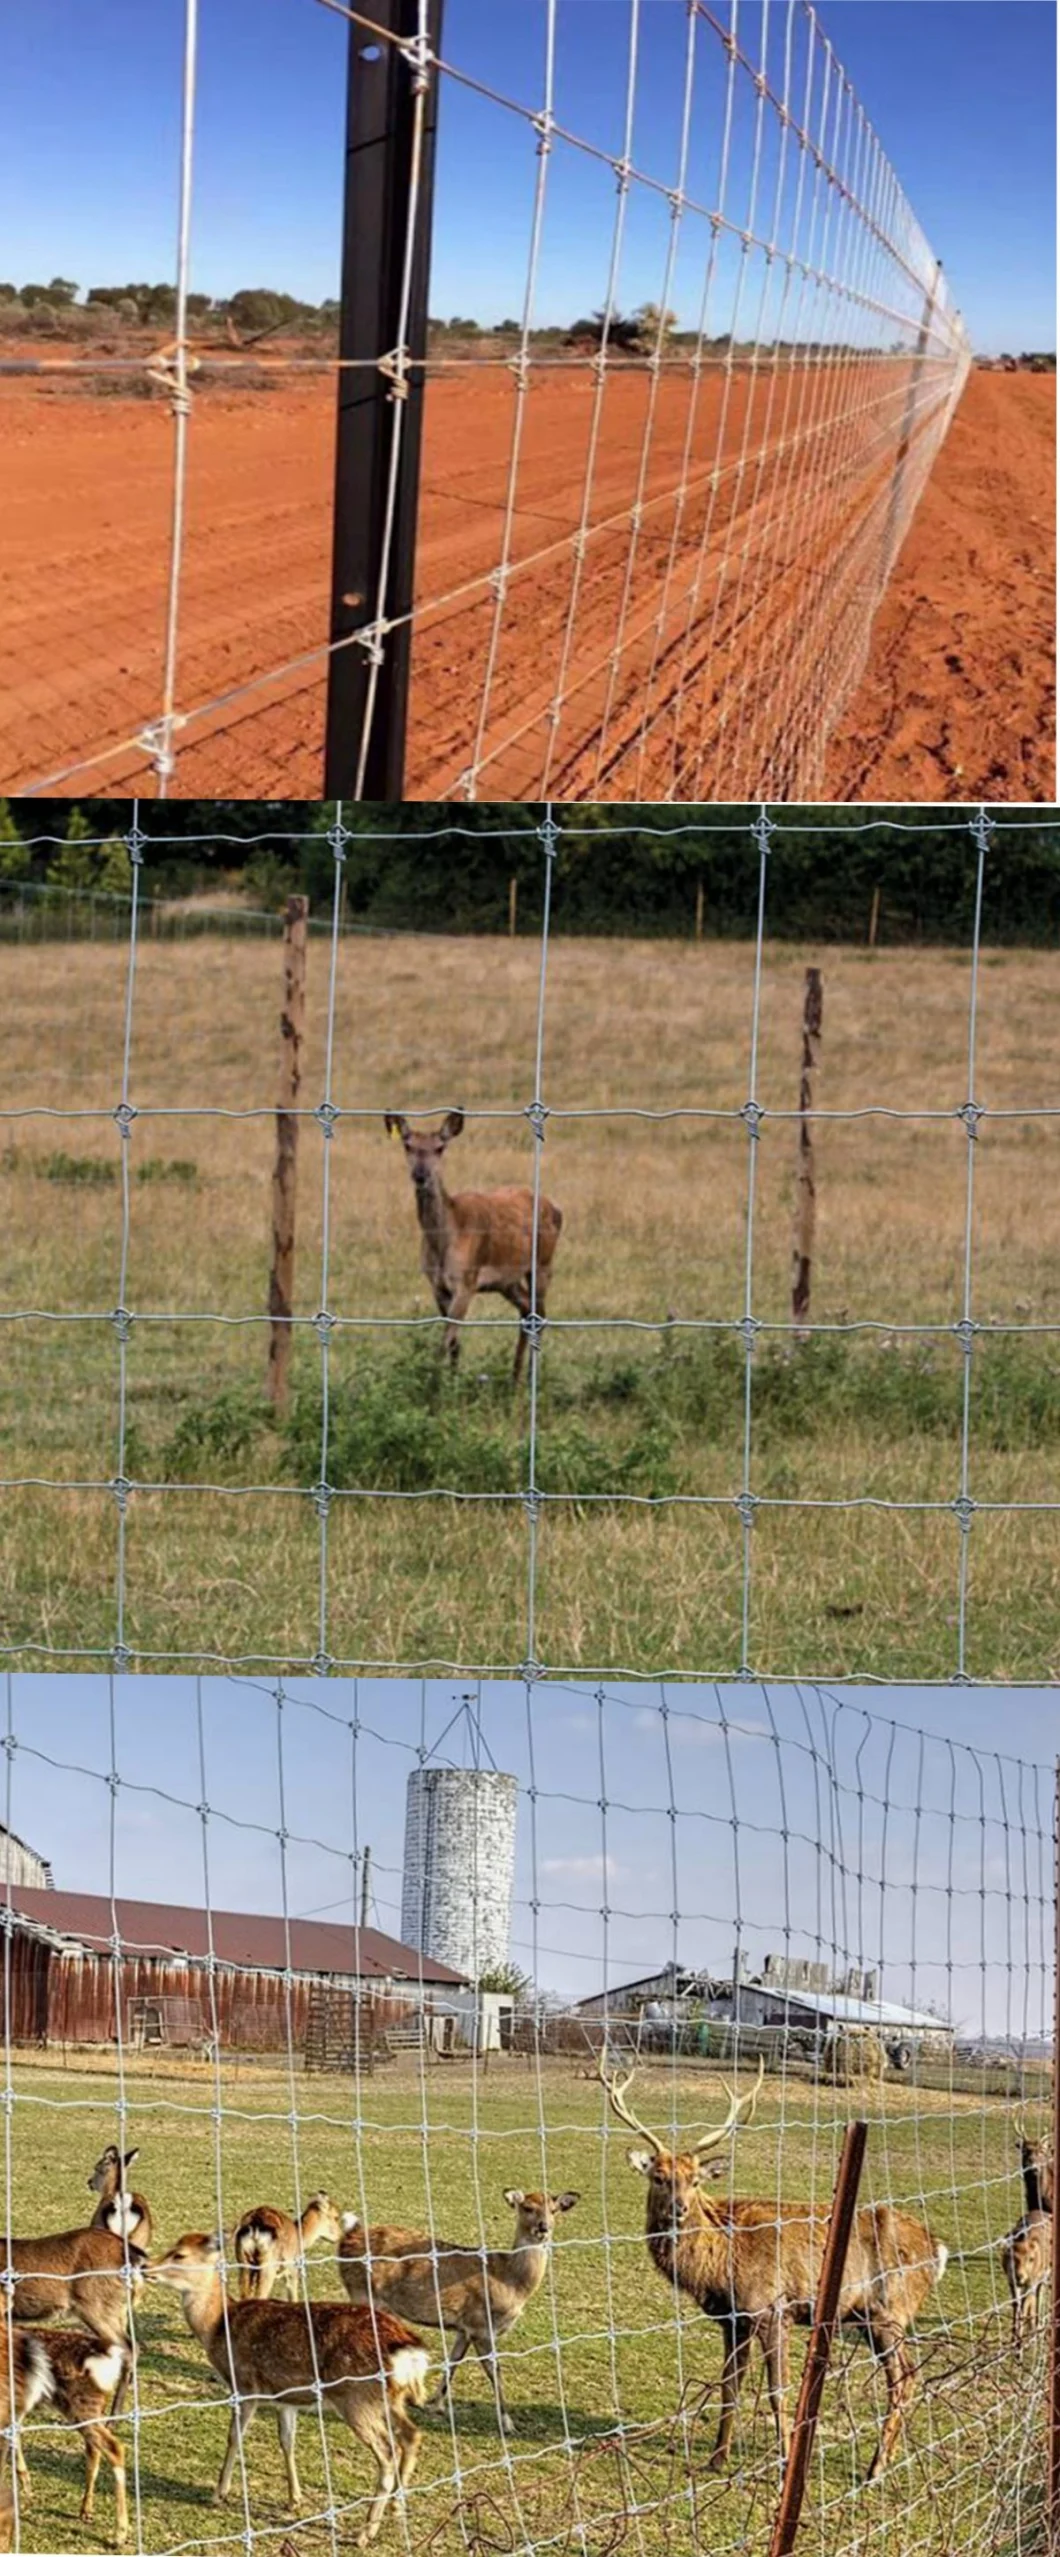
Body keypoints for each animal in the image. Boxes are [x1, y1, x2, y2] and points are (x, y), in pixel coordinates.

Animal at [150, 2229, 431, 2546]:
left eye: (179, 2254)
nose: (146, 2267)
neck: (218, 2326)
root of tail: (410, 2351)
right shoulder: (285, 2397)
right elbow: (287, 2440)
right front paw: (294, 2499)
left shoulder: (245, 2385)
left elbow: (234, 2436)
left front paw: (219, 2493)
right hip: (389, 2399)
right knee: (412, 2435)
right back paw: (397, 2507)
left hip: (356, 2397)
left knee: (387, 2451)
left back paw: (364, 2533)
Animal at [337, 2178, 582, 2434]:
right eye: (527, 2208)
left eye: (554, 2210)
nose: (544, 2227)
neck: (512, 2284)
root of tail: (347, 2238)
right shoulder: (480, 2324)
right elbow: (495, 2371)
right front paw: (508, 2424)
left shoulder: (464, 2329)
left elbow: (452, 2362)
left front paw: (434, 2405)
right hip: (363, 2293)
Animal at [383, 1104, 564, 1380]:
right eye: (407, 1145)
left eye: (440, 1147)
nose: (421, 1175)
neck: (444, 1240)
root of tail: (556, 1209)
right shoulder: (437, 1285)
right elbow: (454, 1343)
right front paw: (451, 1379)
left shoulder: (466, 1281)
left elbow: (445, 1340)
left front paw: (436, 1385)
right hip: (507, 1280)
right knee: (525, 1310)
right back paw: (514, 1378)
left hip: (543, 1262)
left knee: (539, 1314)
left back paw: (529, 1377)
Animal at [602, 2055, 950, 2475]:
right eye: (659, 2177)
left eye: (695, 2181)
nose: (679, 2209)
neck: (721, 2263)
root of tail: (938, 2250)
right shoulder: (733, 2321)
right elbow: (729, 2386)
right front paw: (716, 2461)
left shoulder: (771, 2310)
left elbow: (776, 2391)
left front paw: (785, 2460)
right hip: (869, 2318)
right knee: (908, 2375)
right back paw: (885, 2460)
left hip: (890, 2312)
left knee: (905, 2376)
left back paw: (876, 2467)